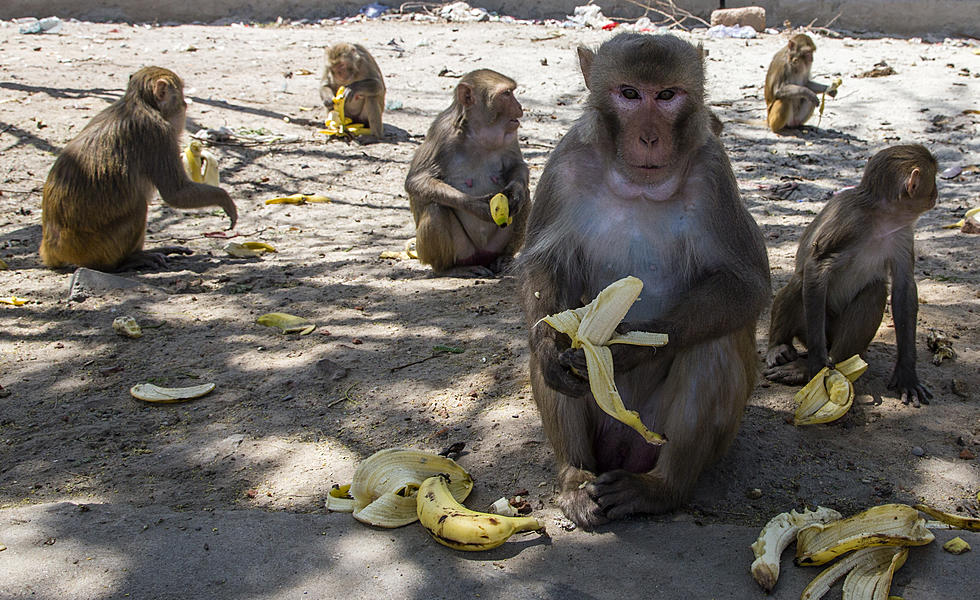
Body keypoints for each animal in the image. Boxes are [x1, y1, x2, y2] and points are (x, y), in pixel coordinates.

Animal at [41, 67, 241, 270]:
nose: (185, 104)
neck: (140, 104)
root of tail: (53, 250)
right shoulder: (159, 134)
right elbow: (175, 193)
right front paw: (224, 199)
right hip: (97, 249)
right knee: (139, 205)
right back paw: (127, 260)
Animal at [404, 69, 532, 276]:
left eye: (511, 92)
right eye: (506, 94)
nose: (520, 107)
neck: (477, 132)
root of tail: (481, 257)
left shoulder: (511, 134)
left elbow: (517, 167)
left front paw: (516, 192)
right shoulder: (441, 132)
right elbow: (416, 181)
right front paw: (476, 205)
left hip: (493, 247)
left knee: (526, 199)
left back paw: (503, 259)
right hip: (462, 250)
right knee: (436, 207)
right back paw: (450, 269)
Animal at [516, 34, 768, 528]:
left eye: (667, 95)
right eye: (630, 94)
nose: (649, 138)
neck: (638, 185)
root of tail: (623, 450)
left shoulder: (715, 174)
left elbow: (745, 285)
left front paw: (628, 350)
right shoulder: (564, 163)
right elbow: (545, 267)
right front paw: (554, 352)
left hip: (669, 435)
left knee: (712, 342)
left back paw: (661, 488)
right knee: (549, 337)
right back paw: (575, 478)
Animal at [760, 146, 936, 408]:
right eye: (933, 179)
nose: (936, 194)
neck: (881, 217)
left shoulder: (902, 233)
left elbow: (904, 288)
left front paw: (906, 373)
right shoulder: (850, 221)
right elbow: (817, 266)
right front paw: (815, 365)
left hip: (842, 337)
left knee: (875, 290)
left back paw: (835, 359)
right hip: (812, 328)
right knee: (800, 282)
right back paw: (780, 347)